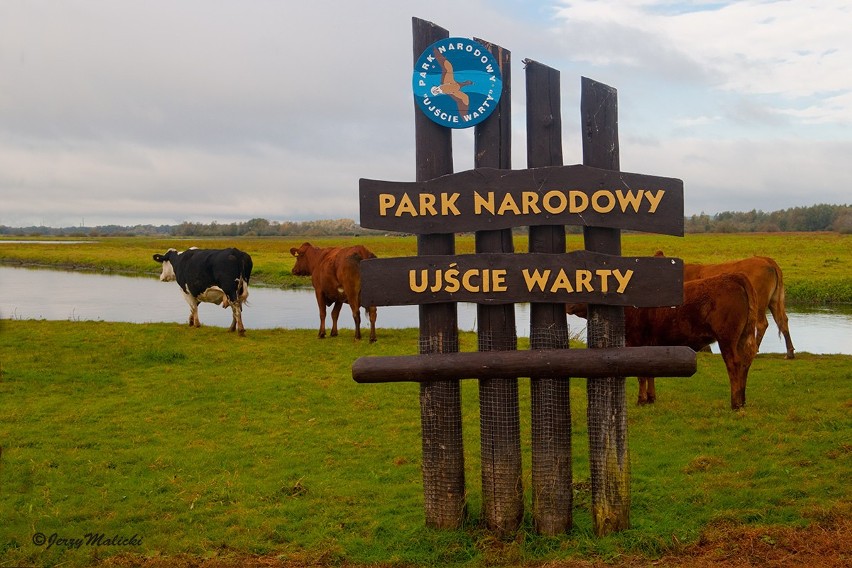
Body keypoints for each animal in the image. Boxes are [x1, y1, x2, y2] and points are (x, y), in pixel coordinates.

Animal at [572, 272, 760, 410]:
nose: (569, 305)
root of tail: (733, 276)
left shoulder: (637, 341)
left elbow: (641, 375)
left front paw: (641, 400)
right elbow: (650, 373)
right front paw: (651, 398)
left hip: (727, 339)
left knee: (734, 364)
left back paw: (735, 403)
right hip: (742, 338)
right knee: (745, 362)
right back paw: (742, 400)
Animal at [660, 253, 792, 360]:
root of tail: (766, 260)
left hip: (759, 301)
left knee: (762, 324)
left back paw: (754, 351)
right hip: (776, 300)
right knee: (782, 320)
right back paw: (789, 353)